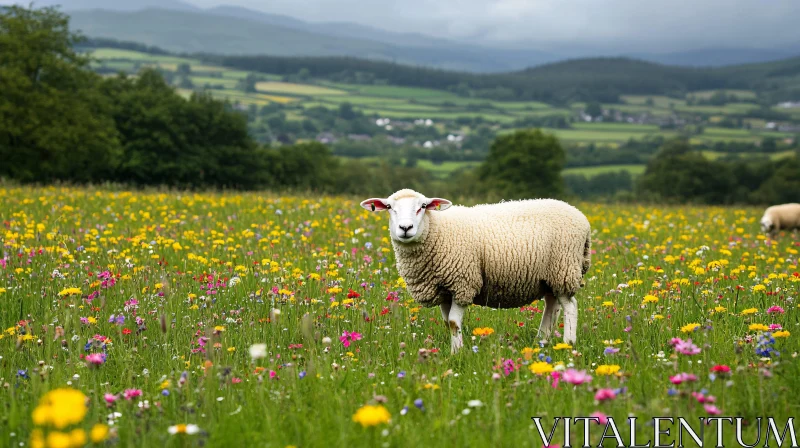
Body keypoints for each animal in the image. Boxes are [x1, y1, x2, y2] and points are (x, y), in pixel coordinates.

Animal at [360, 187, 592, 352]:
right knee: (552, 305)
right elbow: (447, 322)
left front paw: (458, 353)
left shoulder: (463, 282)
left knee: (570, 306)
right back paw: (541, 341)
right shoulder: (443, 289)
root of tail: (582, 217)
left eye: (423, 206)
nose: (405, 228)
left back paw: (568, 343)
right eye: (389, 207)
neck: (437, 230)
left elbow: (454, 322)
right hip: (549, 275)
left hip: (564, 267)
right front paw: (455, 350)